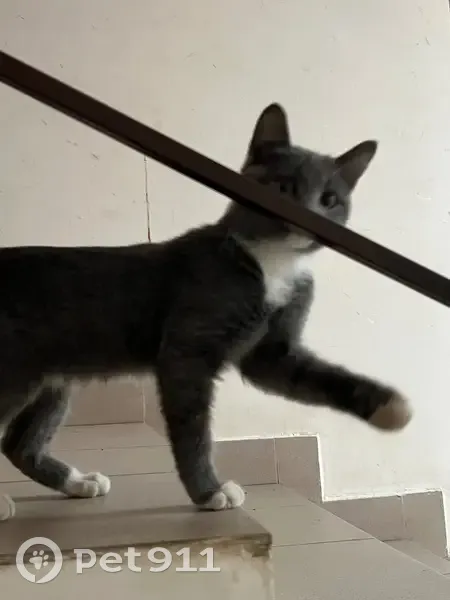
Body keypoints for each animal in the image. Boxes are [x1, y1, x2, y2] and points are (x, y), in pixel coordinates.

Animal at [0, 103, 411, 512]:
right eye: (282, 187)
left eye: (329, 199)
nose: (307, 219)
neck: (272, 263)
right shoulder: (186, 352)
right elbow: (192, 429)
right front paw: (210, 491)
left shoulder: (272, 353)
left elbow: (318, 376)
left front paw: (389, 406)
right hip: (16, 372)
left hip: (51, 379)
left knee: (18, 444)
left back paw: (77, 482)